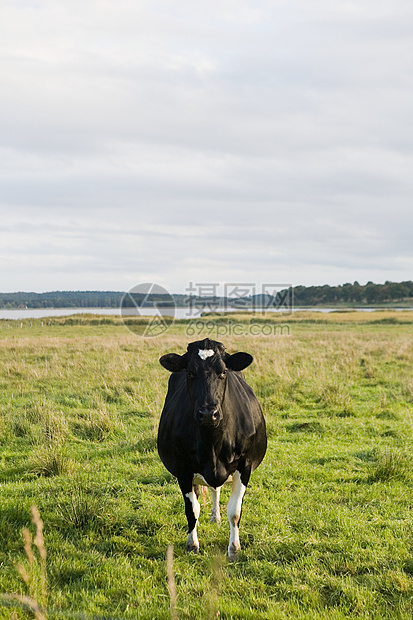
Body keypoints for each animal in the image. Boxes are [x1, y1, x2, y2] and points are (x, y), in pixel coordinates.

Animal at [156, 340, 266, 560]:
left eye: (223, 372)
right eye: (190, 372)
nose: (208, 413)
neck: (212, 443)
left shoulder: (245, 465)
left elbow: (235, 511)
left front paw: (234, 549)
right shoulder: (183, 470)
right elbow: (192, 510)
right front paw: (192, 545)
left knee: (217, 489)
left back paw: (216, 516)